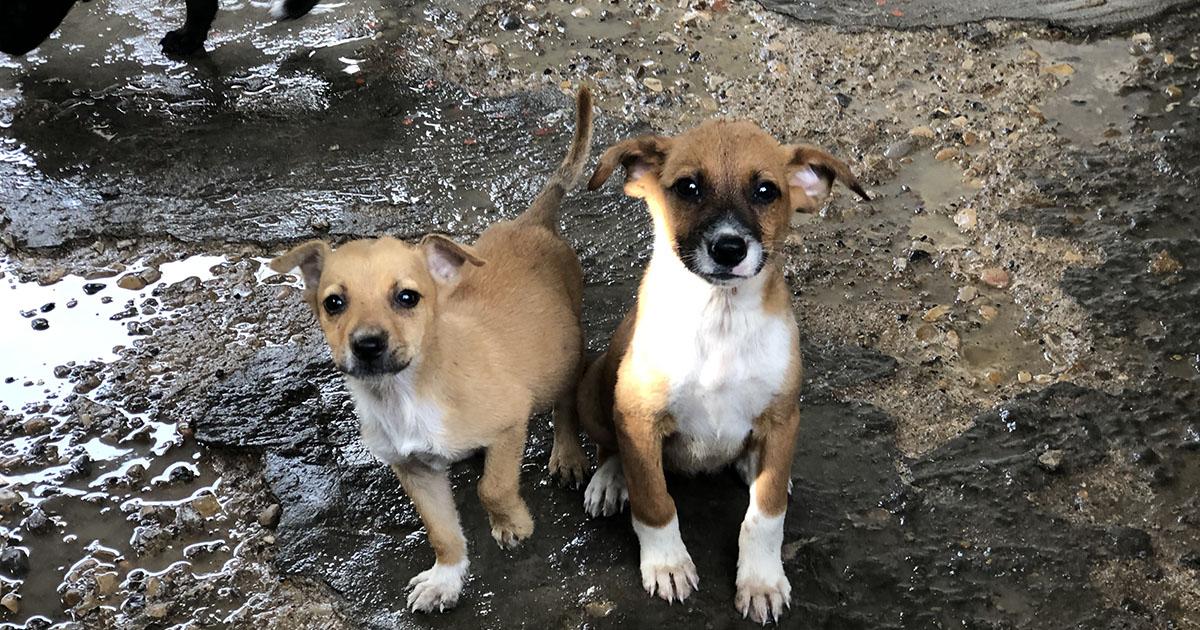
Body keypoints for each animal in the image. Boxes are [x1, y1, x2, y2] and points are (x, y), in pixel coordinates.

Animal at [270, 85, 592, 612]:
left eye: (407, 298)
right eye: (334, 303)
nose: (368, 345)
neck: (405, 393)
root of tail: (532, 222)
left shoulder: (510, 421)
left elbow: (492, 487)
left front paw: (512, 524)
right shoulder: (413, 471)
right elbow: (440, 529)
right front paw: (447, 577)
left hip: (563, 356)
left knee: (566, 402)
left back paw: (567, 453)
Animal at [578, 120, 868, 619]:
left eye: (766, 191)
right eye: (687, 188)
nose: (729, 248)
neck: (721, 319)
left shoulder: (784, 417)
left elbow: (766, 515)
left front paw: (761, 581)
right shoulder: (640, 415)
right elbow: (654, 501)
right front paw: (667, 564)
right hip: (595, 387)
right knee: (611, 445)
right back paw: (611, 479)